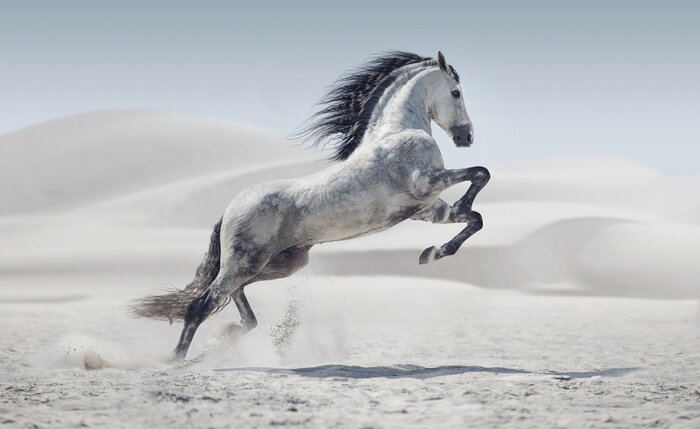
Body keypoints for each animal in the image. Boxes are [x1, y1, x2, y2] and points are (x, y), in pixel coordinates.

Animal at [131, 51, 490, 361]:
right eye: (456, 92)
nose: (467, 137)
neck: (397, 131)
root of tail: (229, 209)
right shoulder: (425, 182)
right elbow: (481, 174)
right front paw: (440, 240)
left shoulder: (427, 210)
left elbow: (475, 218)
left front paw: (431, 253)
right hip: (246, 262)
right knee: (202, 304)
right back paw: (175, 360)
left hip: (279, 264)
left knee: (235, 298)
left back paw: (227, 335)